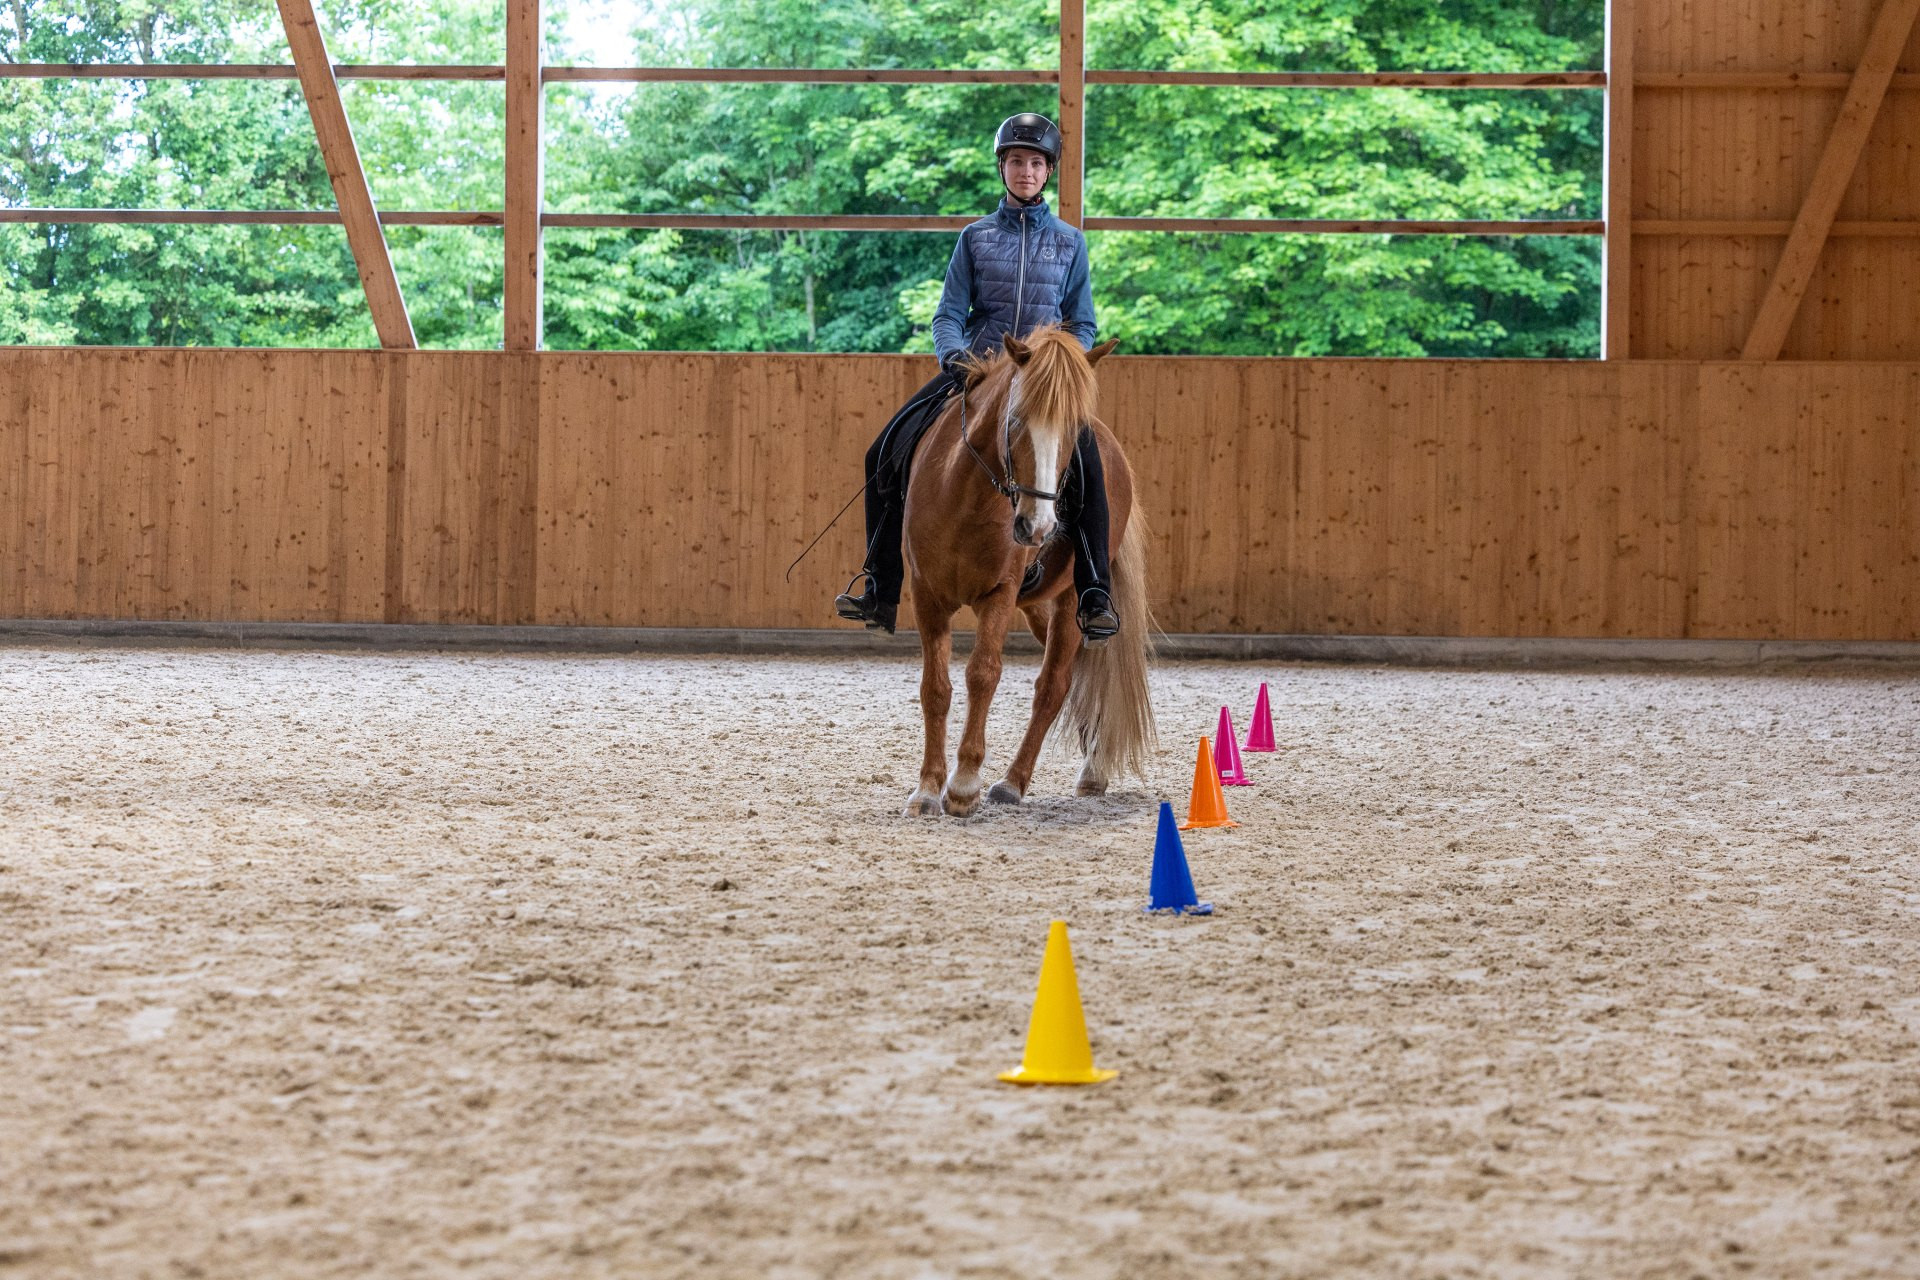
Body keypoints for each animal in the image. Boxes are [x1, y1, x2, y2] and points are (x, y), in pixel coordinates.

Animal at [898, 324, 1156, 818]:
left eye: (1073, 430)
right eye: (1015, 420)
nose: (1038, 527)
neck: (968, 500)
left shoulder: (999, 594)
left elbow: (983, 673)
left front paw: (964, 785)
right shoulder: (928, 595)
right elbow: (934, 688)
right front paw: (927, 788)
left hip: (1075, 600)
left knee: (1054, 685)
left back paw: (1016, 782)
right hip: (1041, 607)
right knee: (1079, 677)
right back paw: (1090, 767)